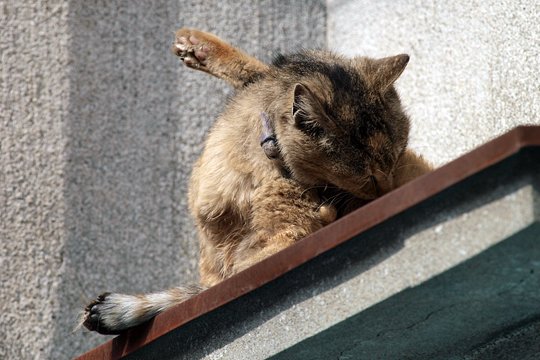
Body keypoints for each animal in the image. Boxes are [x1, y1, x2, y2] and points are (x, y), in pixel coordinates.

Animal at [80, 28, 432, 334]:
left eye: (396, 157)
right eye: (369, 177)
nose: (387, 192)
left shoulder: (280, 242)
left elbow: (208, 288)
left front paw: (118, 309)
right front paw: (197, 47)